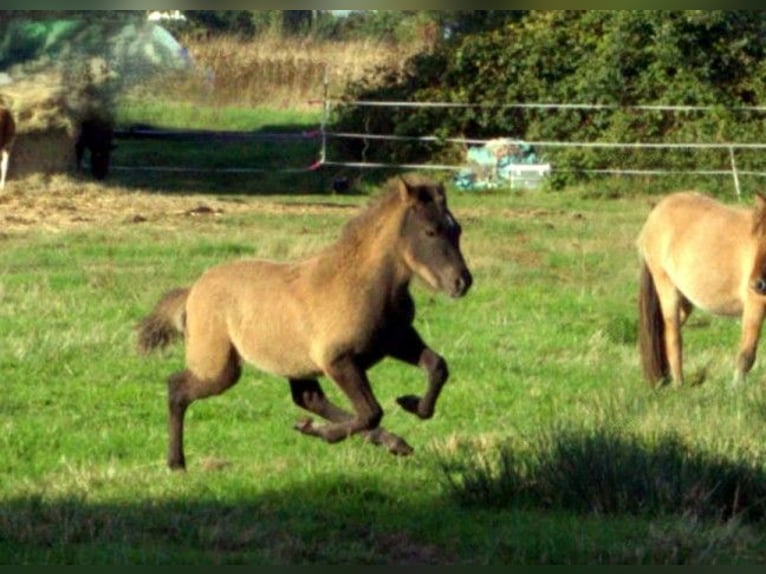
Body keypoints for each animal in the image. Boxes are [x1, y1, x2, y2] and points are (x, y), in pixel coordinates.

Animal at [137, 175, 473, 470]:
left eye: (456, 229)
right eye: (430, 231)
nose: (461, 282)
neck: (363, 285)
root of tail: (192, 290)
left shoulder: (397, 339)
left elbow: (437, 367)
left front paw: (412, 404)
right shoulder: (338, 360)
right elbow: (371, 411)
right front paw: (325, 434)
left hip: (291, 363)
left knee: (308, 398)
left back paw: (389, 441)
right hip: (220, 369)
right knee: (177, 388)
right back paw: (176, 463)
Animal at [637, 190, 766, 387]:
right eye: (758, 238)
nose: (757, 284)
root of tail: (656, 212)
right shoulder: (755, 305)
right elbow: (746, 354)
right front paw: (736, 389)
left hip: (685, 300)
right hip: (666, 287)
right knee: (673, 336)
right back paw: (678, 384)